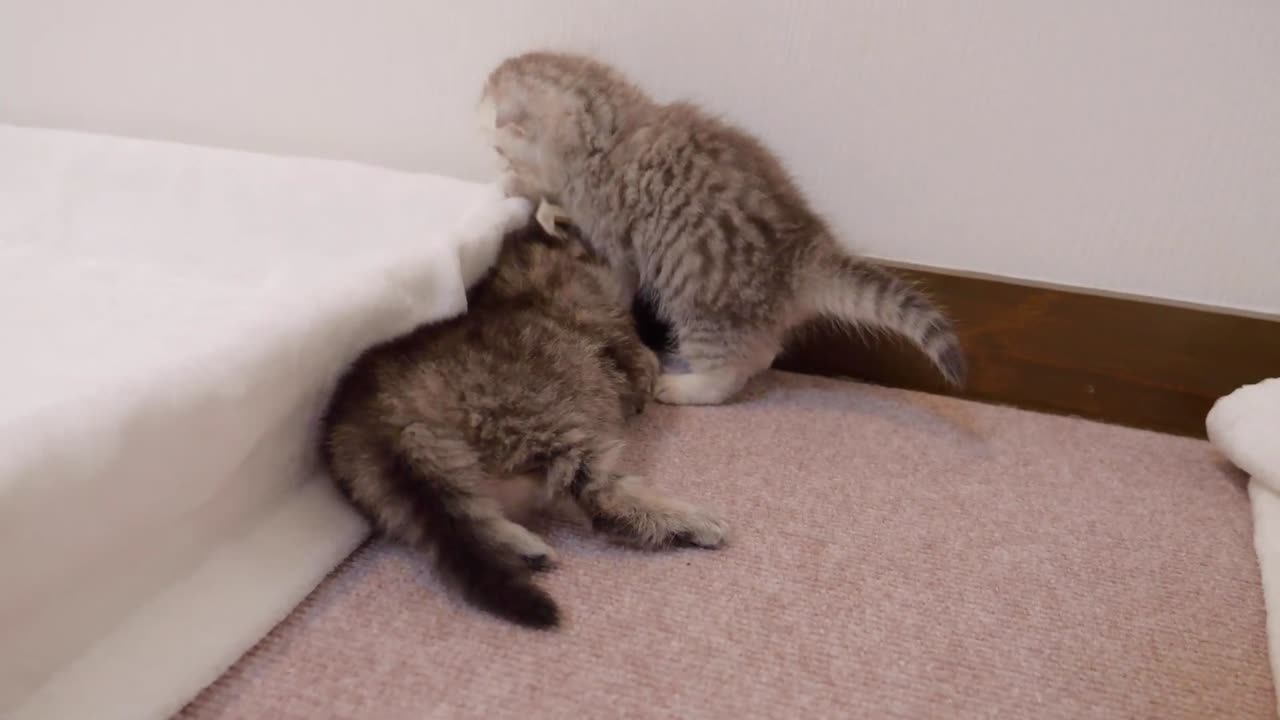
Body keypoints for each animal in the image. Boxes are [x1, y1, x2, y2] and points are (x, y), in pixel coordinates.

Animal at [320, 220, 732, 627]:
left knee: (449, 514)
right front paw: (649, 367)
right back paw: (680, 519)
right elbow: (639, 360)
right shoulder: (608, 326)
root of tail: (378, 412)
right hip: (533, 418)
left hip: (379, 485)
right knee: (594, 493)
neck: (517, 277)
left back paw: (510, 543)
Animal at [481, 51, 967, 404]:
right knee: (765, 352)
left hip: (702, 301)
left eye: (500, 150)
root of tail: (803, 252)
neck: (612, 127)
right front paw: (538, 203)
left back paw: (684, 386)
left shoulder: (613, 235)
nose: (499, 165)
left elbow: (615, 278)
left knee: (727, 374)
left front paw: (519, 187)